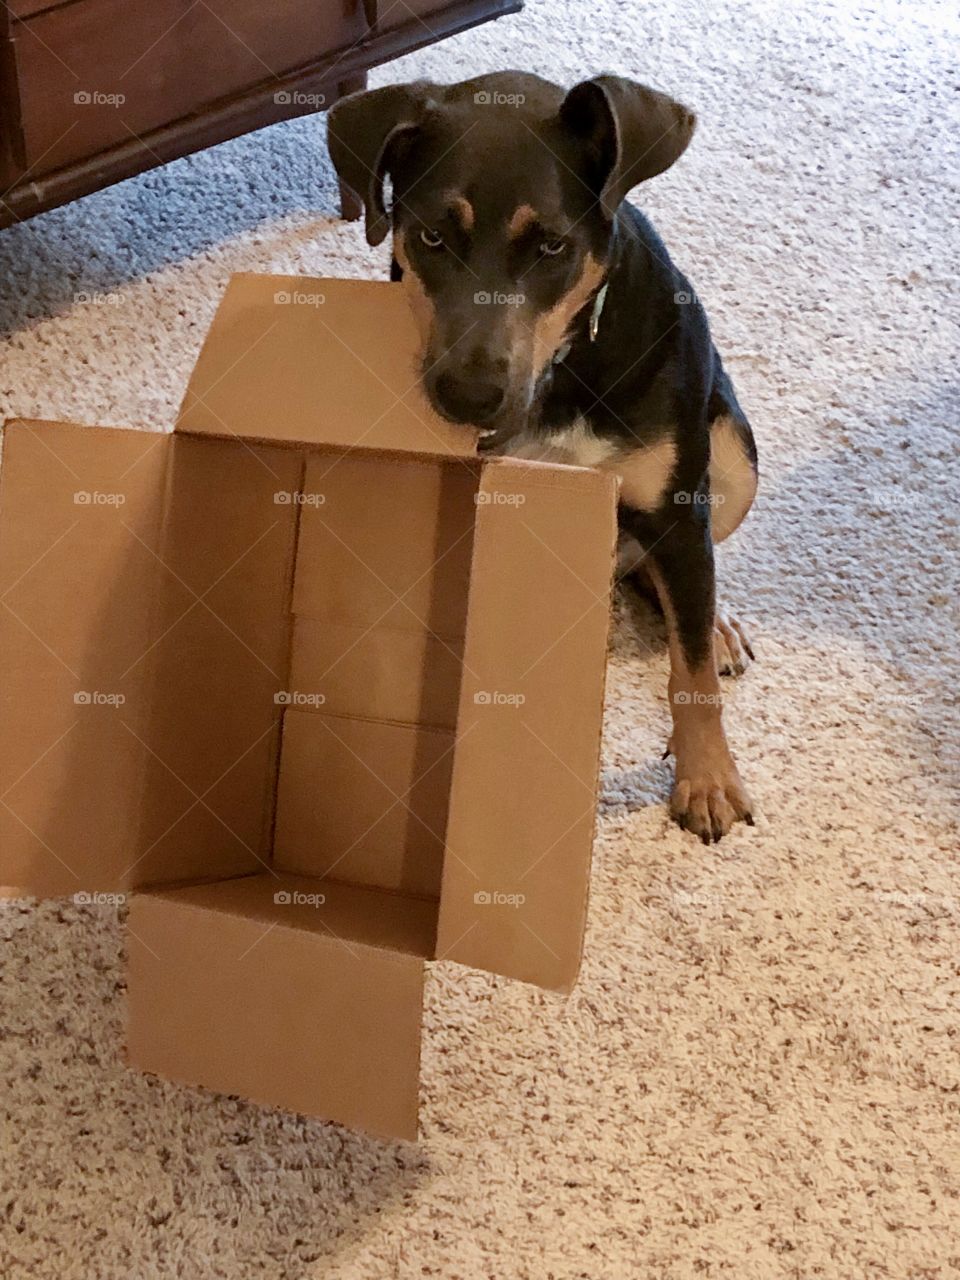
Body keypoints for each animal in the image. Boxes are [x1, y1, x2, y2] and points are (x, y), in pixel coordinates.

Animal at [330, 74, 757, 844]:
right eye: (432, 236)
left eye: (552, 246)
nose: (469, 397)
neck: (562, 366)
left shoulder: (679, 508)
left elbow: (692, 676)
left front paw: (709, 778)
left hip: (735, 460)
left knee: (686, 582)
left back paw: (716, 623)